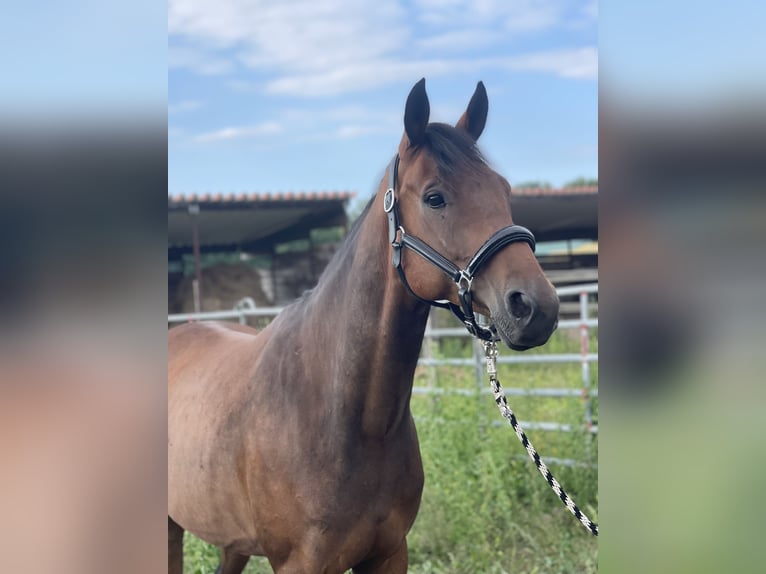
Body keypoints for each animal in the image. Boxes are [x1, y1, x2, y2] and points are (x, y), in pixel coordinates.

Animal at [170, 80, 560, 574]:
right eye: (435, 197)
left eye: (504, 189)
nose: (535, 306)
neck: (341, 414)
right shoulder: (298, 564)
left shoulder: (390, 552)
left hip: (233, 542)